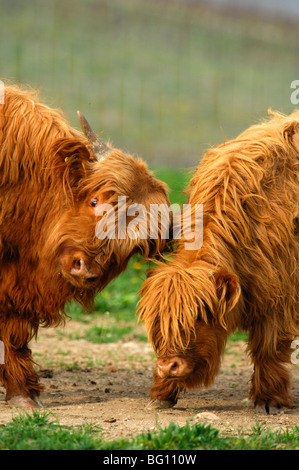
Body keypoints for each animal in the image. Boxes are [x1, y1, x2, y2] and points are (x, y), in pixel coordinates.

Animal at [140, 109, 299, 412]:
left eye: (200, 315)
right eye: (158, 321)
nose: (168, 365)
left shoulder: (279, 294)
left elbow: (270, 347)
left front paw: (269, 400)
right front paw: (161, 393)